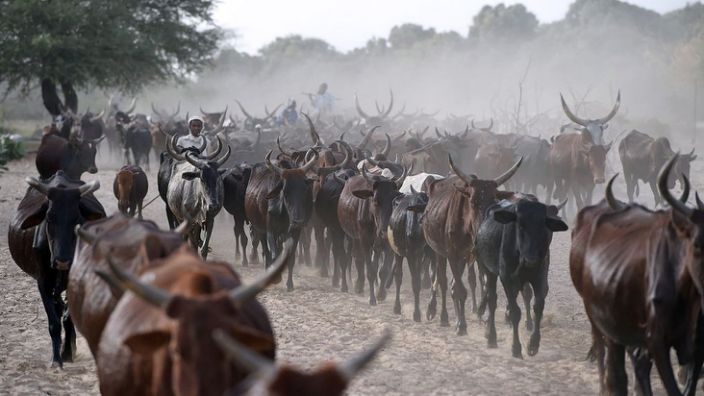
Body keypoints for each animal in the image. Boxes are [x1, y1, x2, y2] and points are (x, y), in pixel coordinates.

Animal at [420, 155, 520, 334]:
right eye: (472, 202)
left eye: (494, 202)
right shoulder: (452, 255)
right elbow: (459, 290)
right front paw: (461, 325)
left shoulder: (480, 258)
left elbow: (484, 286)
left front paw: (483, 317)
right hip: (440, 252)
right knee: (443, 281)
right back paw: (442, 315)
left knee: (454, 283)